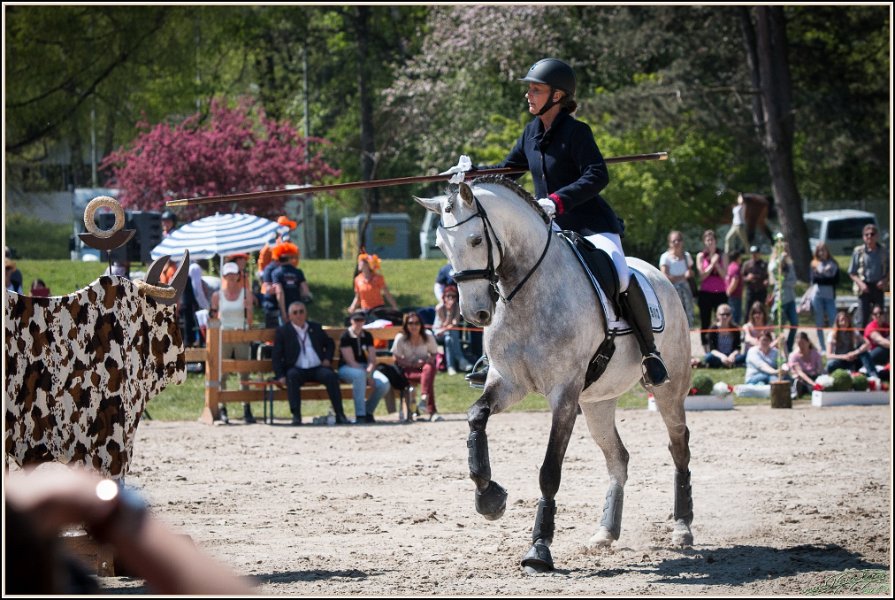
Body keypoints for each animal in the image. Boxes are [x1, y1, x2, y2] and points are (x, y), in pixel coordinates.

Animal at [414, 177, 694, 574]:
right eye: (440, 246)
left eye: (476, 240)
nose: (475, 313)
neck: (526, 292)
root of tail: (660, 275)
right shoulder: (508, 382)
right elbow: (476, 416)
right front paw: (489, 497)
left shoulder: (564, 394)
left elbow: (549, 470)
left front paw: (539, 548)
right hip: (597, 402)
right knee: (618, 458)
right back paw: (605, 532)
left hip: (669, 392)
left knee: (679, 446)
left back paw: (682, 527)